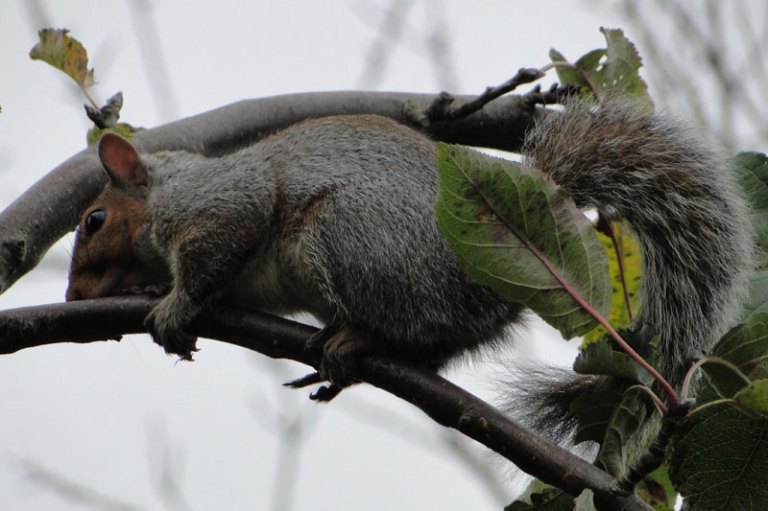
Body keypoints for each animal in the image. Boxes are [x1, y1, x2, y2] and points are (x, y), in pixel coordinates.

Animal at [66, 101, 753, 398]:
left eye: (94, 220)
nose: (72, 298)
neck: (165, 194)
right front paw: (155, 291)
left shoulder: (220, 206)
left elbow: (217, 250)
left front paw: (172, 307)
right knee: (441, 345)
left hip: (351, 234)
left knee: (415, 323)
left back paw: (356, 341)